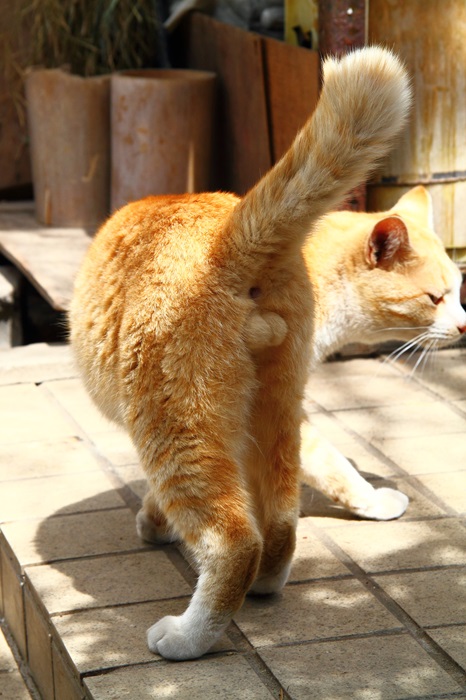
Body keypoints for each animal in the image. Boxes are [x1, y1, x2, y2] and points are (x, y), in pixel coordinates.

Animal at [69, 46, 412, 660]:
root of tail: (228, 235)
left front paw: (152, 525)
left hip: (174, 425)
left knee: (233, 537)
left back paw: (186, 636)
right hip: (274, 408)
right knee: (280, 518)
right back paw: (268, 582)